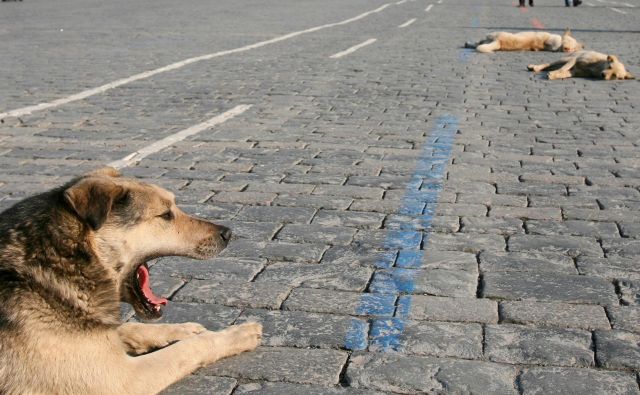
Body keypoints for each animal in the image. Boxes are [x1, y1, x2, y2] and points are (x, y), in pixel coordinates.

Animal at [0, 168, 262, 395]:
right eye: (165, 215)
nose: (228, 233)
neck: (61, 261)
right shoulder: (122, 380)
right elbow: (190, 348)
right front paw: (238, 334)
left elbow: (131, 327)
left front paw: (185, 329)